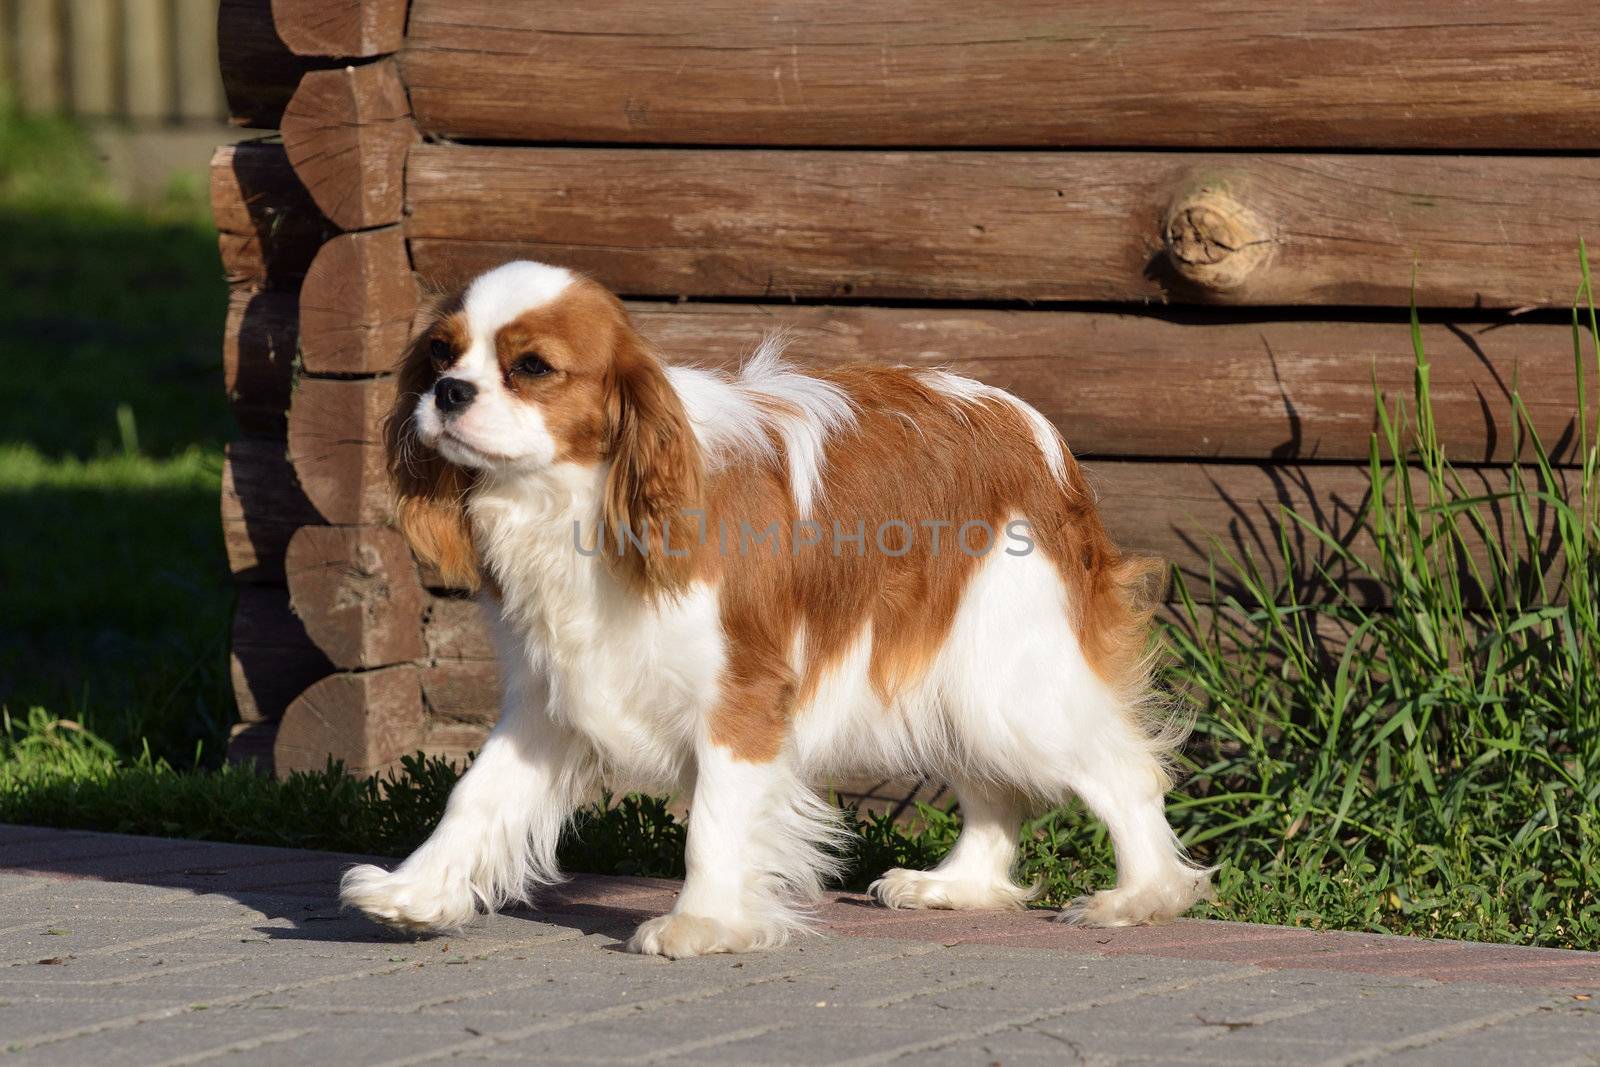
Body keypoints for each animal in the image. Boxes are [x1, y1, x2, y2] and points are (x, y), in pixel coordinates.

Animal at [340, 260, 1209, 959]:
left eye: (530, 366)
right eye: (441, 354)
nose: (448, 392)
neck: (580, 498)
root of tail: (1039, 433)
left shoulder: (742, 694)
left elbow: (713, 821)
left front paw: (702, 924)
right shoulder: (548, 700)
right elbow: (474, 796)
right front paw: (414, 893)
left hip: (1009, 674)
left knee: (1124, 771)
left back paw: (1144, 895)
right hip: (947, 674)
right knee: (994, 787)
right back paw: (959, 884)